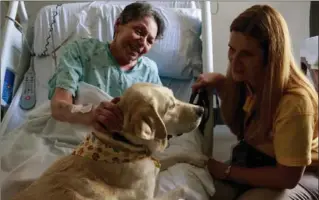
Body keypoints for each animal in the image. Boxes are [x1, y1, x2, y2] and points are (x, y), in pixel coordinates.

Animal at [12, 83, 209, 200]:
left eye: (175, 98)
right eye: (171, 107)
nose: (202, 109)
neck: (122, 143)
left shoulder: (153, 163)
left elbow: (175, 155)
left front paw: (199, 158)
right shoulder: (147, 195)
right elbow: (180, 190)